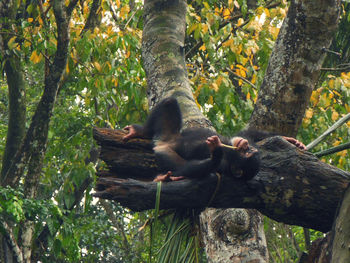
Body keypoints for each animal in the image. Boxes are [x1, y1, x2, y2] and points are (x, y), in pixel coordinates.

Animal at [122, 98, 306, 183]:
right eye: (248, 150)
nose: (246, 146)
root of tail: (163, 141)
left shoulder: (226, 166)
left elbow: (206, 167)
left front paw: (216, 150)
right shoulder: (244, 138)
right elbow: (246, 132)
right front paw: (292, 140)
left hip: (165, 151)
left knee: (183, 167)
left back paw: (165, 177)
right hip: (168, 131)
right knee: (169, 102)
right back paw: (140, 131)